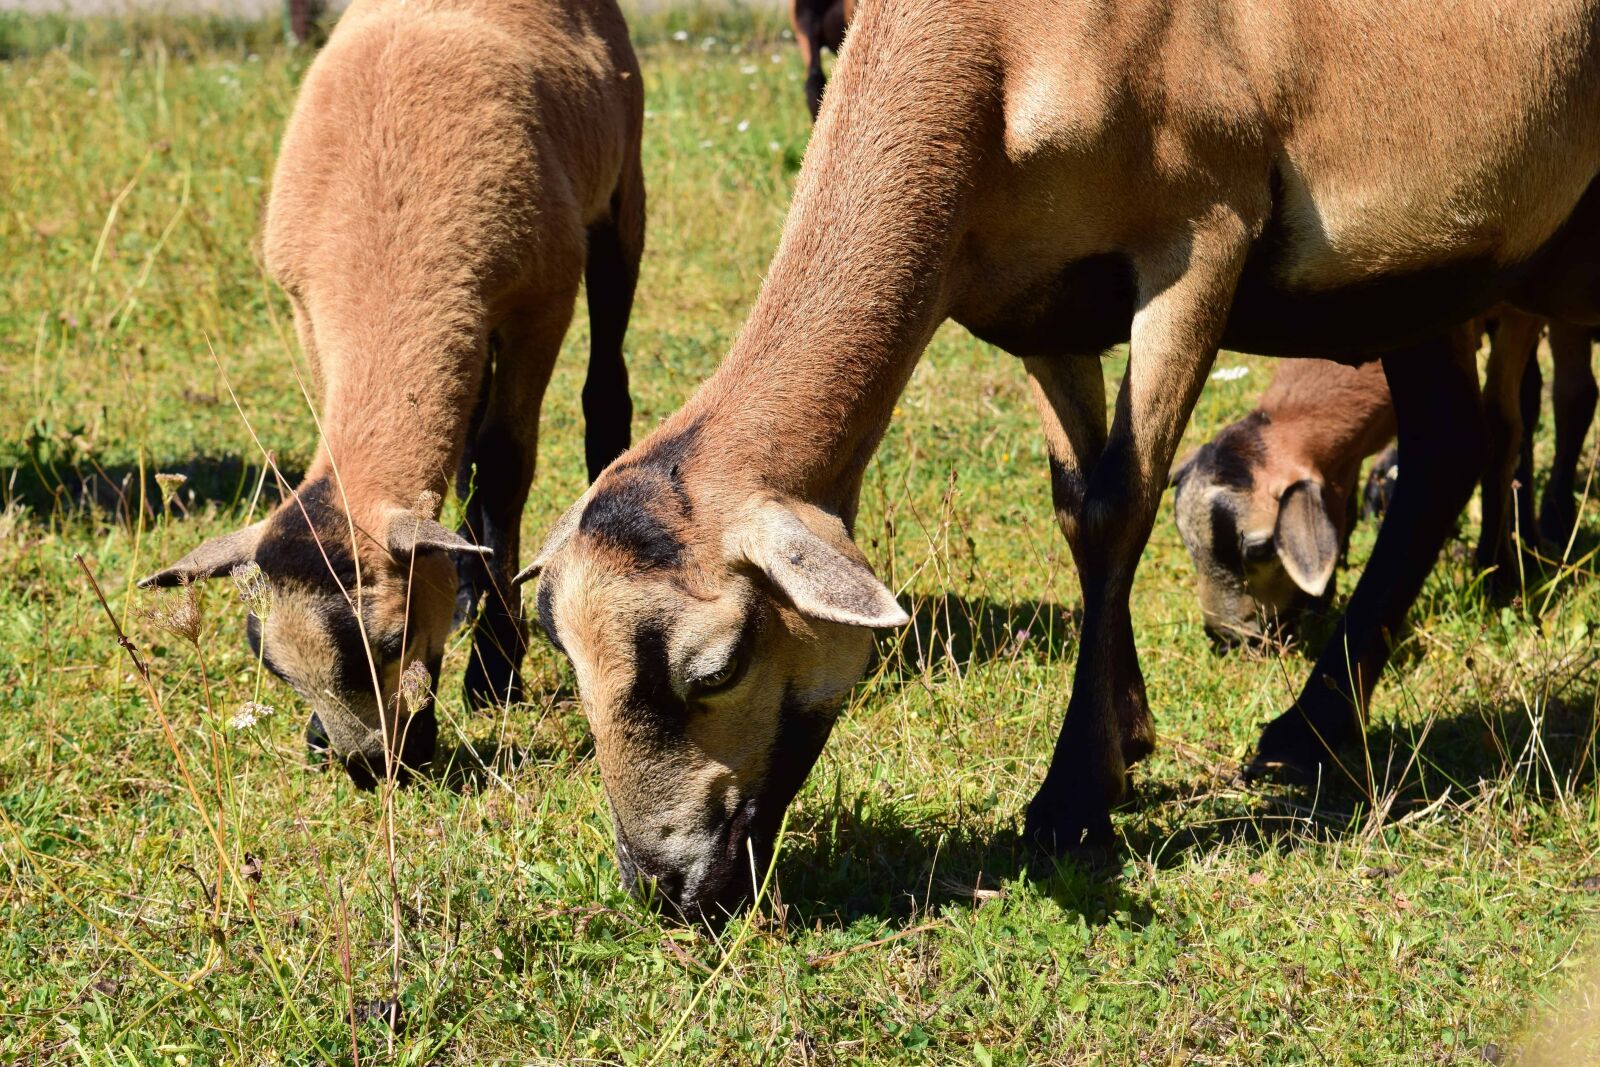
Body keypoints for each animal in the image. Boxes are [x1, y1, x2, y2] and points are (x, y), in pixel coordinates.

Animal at [141, 0, 645, 788]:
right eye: (270, 663)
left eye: (390, 638)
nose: (369, 766)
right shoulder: (310, 313)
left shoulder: (541, 299)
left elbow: (506, 467)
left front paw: (495, 672)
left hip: (622, 191)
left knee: (603, 391)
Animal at [521, 0, 1600, 915]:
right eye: (564, 659)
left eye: (718, 667)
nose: (666, 886)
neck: (988, 48)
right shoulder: (1040, 302)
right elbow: (1079, 510)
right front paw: (1126, 736)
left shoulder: (1199, 237)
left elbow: (1121, 503)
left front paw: (1073, 799)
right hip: (1431, 257)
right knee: (1447, 447)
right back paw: (1312, 729)